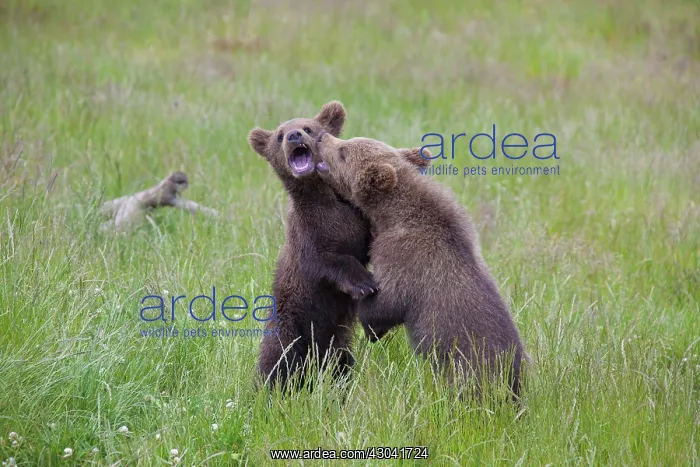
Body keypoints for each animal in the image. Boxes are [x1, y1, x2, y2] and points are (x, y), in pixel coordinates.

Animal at [248, 102, 431, 392]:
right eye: (279, 135)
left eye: (308, 127)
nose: (294, 136)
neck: (326, 199)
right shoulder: (309, 233)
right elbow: (325, 260)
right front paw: (363, 282)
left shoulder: (355, 218)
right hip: (290, 324)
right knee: (277, 360)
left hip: (339, 345)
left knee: (340, 366)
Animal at [315, 132, 526, 399]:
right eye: (348, 141)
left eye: (343, 151)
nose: (321, 137)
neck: (394, 214)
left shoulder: (403, 255)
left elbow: (389, 301)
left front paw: (368, 320)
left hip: (469, 367)